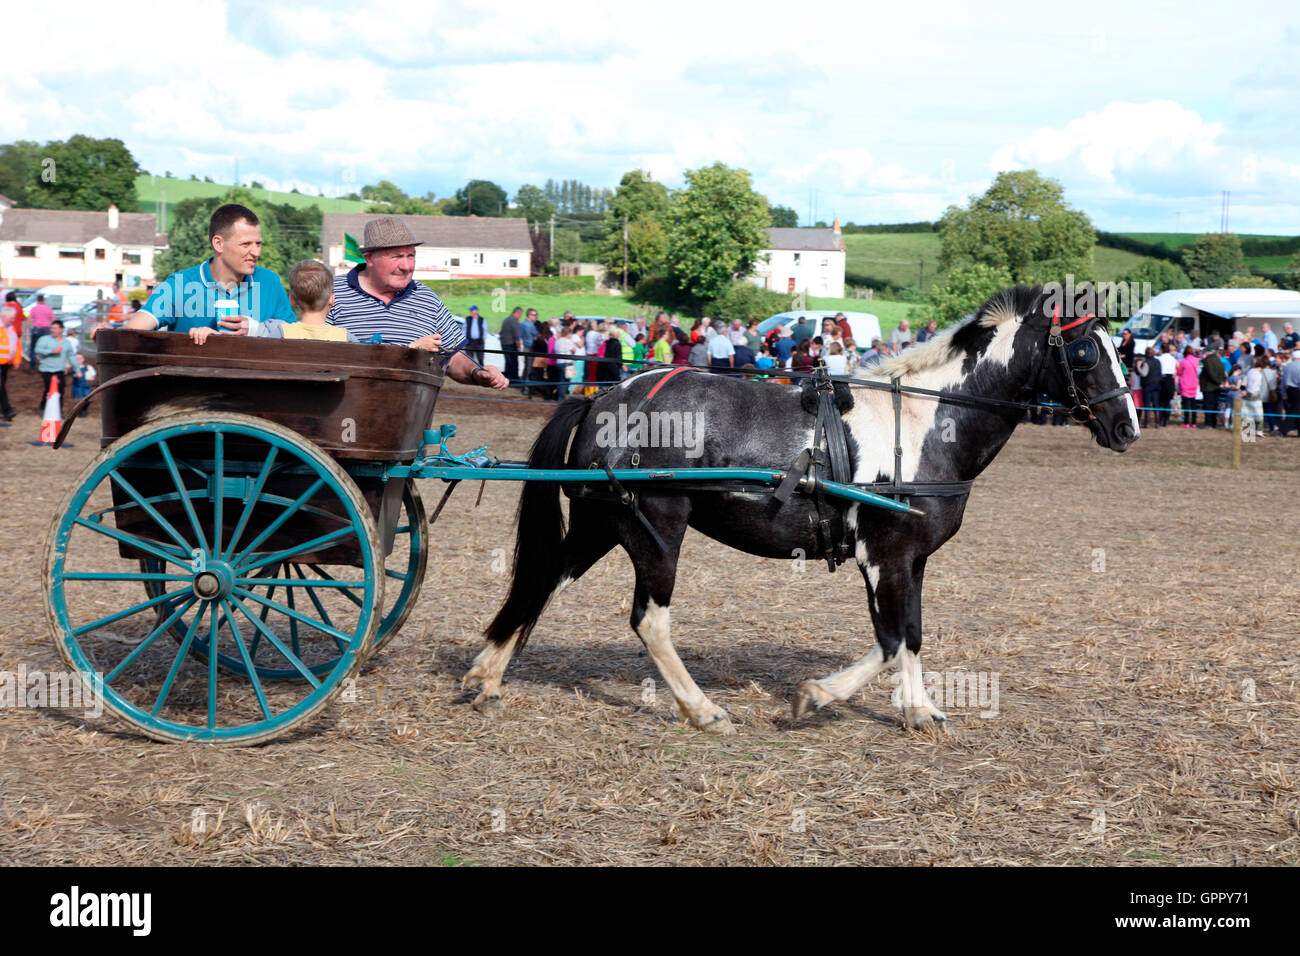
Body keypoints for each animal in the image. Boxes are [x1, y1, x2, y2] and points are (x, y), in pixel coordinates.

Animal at [467, 283, 1138, 733]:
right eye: (1087, 352)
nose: (1127, 427)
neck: (925, 423)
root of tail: (604, 396)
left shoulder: (910, 559)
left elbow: (911, 633)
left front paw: (919, 708)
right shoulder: (883, 555)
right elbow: (890, 639)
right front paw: (817, 696)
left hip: (603, 522)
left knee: (544, 579)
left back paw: (488, 676)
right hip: (654, 527)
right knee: (649, 620)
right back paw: (703, 710)